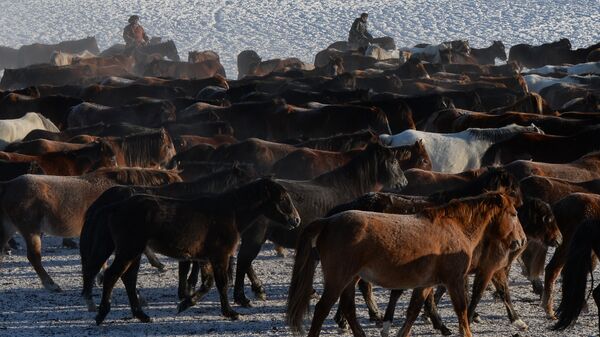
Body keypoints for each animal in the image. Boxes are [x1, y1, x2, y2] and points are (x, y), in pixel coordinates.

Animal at [286, 192, 524, 336]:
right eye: (514, 214)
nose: (520, 241)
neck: (454, 228)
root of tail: (328, 222)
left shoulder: (426, 284)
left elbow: (413, 311)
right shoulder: (454, 280)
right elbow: (462, 311)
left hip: (349, 279)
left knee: (348, 308)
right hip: (339, 279)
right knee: (322, 309)